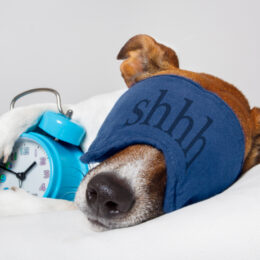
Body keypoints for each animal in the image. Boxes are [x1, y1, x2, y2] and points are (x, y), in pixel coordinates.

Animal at [0, 35, 260, 232]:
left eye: (202, 161)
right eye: (133, 115)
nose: (106, 192)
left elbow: (60, 205)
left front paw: (12, 201)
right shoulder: (80, 111)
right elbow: (37, 109)